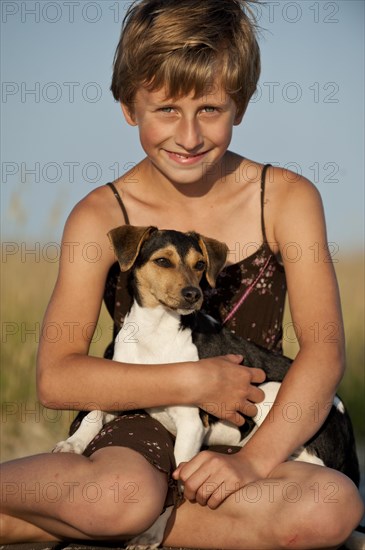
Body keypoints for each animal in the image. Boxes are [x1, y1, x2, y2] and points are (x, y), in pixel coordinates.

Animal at [53, 226, 358, 548]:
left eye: (200, 264)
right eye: (163, 261)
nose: (193, 294)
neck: (155, 333)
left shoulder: (191, 425)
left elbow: (178, 480)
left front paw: (153, 530)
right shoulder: (123, 390)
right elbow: (93, 414)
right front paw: (72, 444)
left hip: (274, 394)